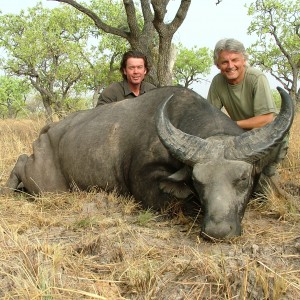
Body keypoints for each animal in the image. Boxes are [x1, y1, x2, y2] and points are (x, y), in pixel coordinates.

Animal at [2, 86, 292, 239]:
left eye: (242, 179)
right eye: (197, 181)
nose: (217, 230)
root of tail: (50, 130)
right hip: (46, 185)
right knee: (21, 161)